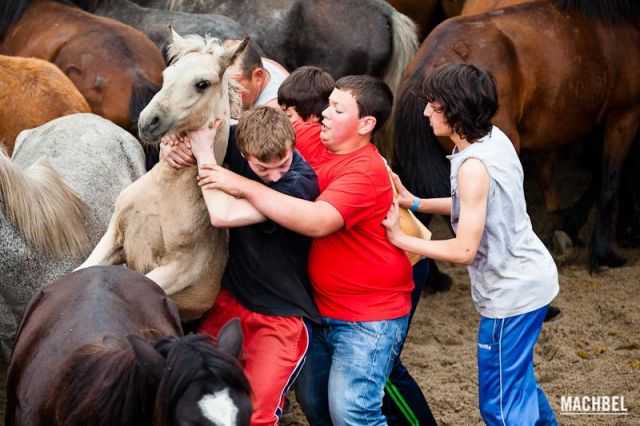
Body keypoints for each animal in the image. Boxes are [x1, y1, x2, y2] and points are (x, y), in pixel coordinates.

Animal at [77, 32, 247, 320]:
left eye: (202, 84)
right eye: (167, 75)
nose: (148, 122)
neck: (165, 190)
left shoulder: (178, 270)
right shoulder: (114, 235)